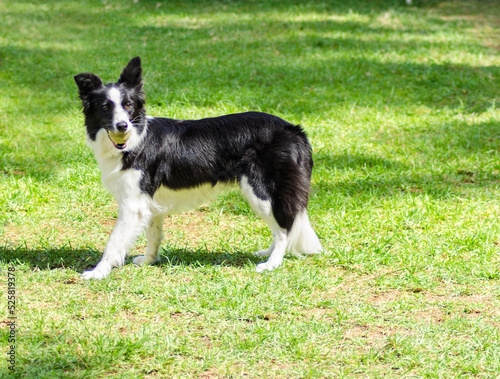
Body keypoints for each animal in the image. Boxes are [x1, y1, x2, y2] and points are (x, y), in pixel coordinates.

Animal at [74, 58, 324, 280]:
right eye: (105, 108)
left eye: (128, 106)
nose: (122, 126)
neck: (136, 140)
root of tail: (294, 130)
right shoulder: (150, 203)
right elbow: (154, 235)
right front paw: (149, 261)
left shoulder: (132, 204)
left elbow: (113, 242)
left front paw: (98, 273)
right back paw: (267, 253)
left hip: (262, 190)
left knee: (283, 228)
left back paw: (272, 263)